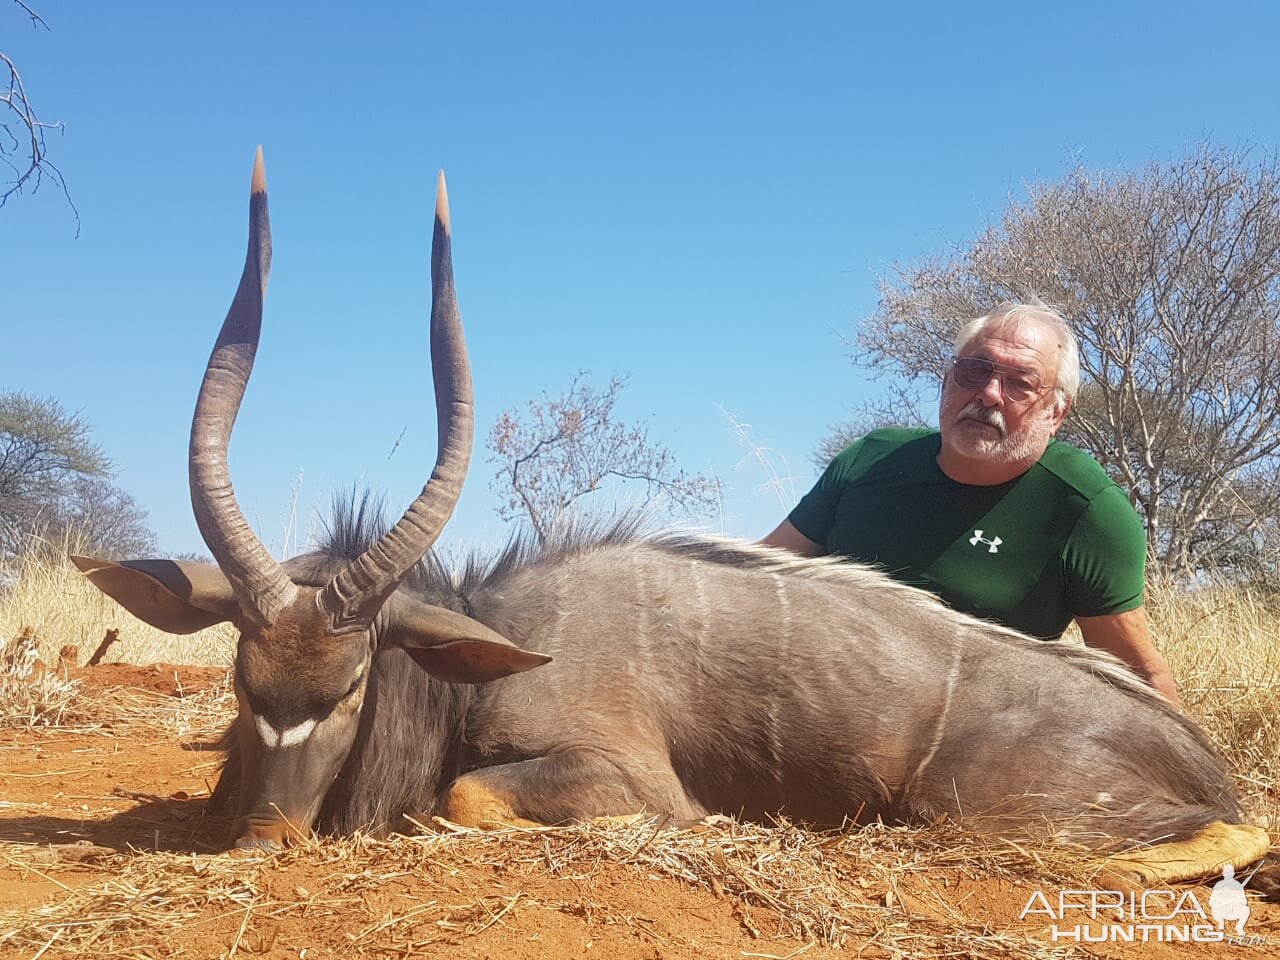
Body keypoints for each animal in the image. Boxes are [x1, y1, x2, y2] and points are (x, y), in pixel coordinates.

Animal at [74, 152, 1274, 896]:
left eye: (354, 681)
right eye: (242, 680)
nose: (263, 838)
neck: (493, 647)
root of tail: (1194, 756)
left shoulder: (616, 775)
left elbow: (471, 795)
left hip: (970, 810)